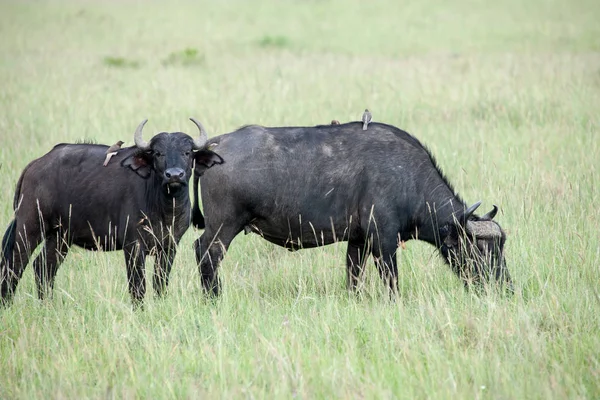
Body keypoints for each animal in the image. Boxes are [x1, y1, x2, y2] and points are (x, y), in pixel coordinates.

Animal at [0, 119, 223, 306]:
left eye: (187, 152)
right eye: (158, 153)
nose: (174, 175)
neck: (165, 210)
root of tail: (34, 165)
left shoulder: (169, 246)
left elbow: (160, 283)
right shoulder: (133, 246)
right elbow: (138, 286)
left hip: (60, 236)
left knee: (43, 267)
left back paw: (47, 305)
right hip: (30, 227)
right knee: (14, 264)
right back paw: (7, 304)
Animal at [192, 120, 510, 296]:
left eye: (500, 249)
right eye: (479, 249)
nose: (505, 287)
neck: (409, 178)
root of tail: (211, 146)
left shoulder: (358, 241)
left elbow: (353, 278)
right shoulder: (384, 241)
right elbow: (392, 282)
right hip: (223, 226)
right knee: (206, 254)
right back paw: (214, 298)